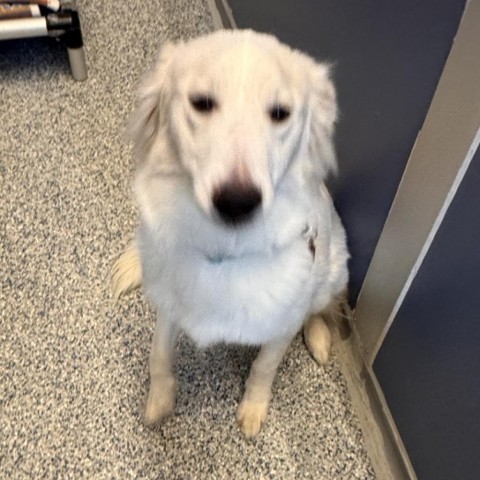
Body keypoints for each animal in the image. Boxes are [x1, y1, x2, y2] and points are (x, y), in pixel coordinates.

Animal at [114, 29, 350, 438]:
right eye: (202, 102)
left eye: (280, 113)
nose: (237, 201)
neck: (225, 251)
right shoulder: (169, 305)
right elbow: (159, 354)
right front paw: (159, 401)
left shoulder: (281, 325)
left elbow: (264, 367)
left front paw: (253, 408)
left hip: (332, 270)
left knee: (319, 306)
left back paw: (319, 337)